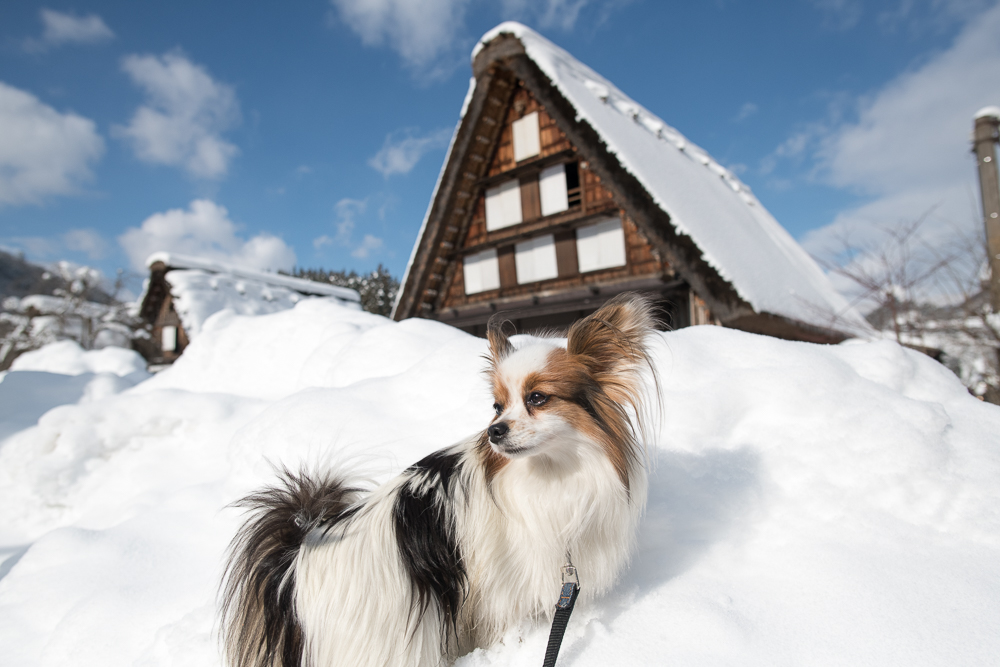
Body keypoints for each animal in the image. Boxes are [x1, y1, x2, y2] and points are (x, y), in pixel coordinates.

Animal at [223, 294, 660, 667]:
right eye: (497, 406)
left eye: (537, 398)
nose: (494, 432)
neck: (550, 470)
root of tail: (295, 562)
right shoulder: (499, 582)